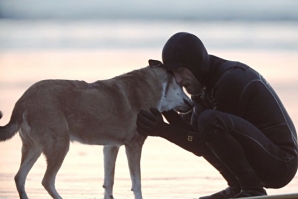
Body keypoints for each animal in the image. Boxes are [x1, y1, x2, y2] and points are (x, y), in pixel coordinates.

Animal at [0, 61, 193, 198]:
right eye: (182, 85)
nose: (192, 104)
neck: (154, 86)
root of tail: (23, 99)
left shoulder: (111, 147)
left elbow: (109, 183)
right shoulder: (134, 145)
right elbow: (136, 183)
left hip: (34, 148)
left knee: (20, 178)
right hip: (59, 145)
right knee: (47, 181)